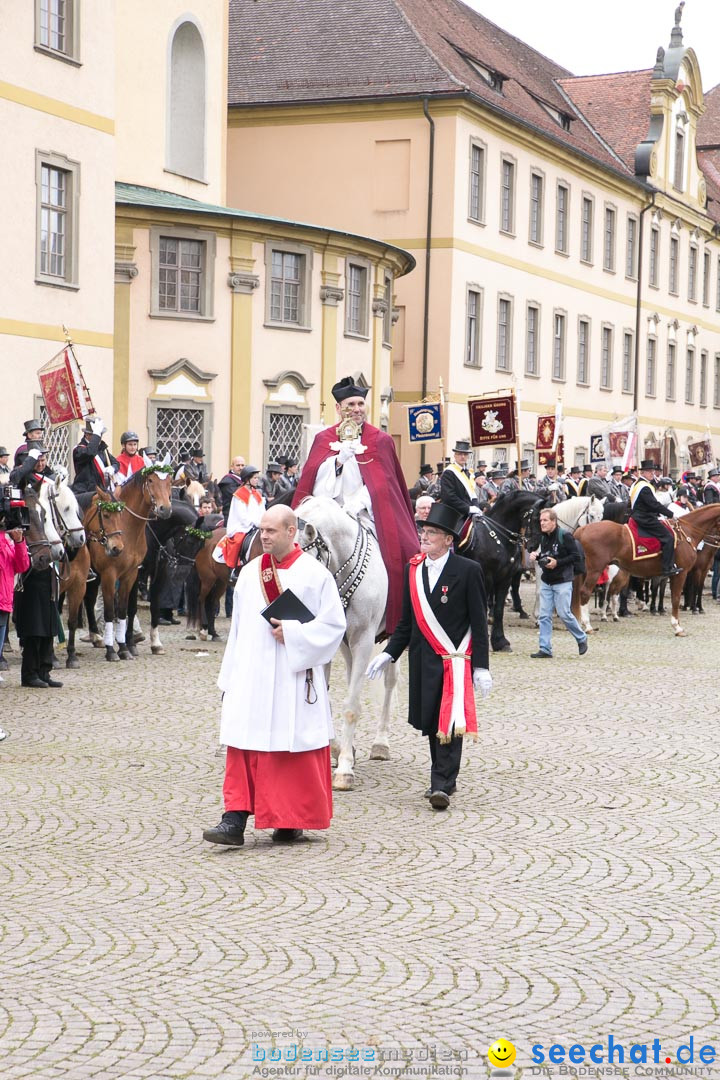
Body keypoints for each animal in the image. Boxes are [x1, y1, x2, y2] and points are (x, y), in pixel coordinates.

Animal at [60, 490, 126, 665]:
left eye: (120, 514)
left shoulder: (78, 585)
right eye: (106, 515)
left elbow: (72, 620)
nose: (117, 548)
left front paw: (71, 655)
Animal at [83, 470, 173, 660]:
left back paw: (96, 637)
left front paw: (126, 647)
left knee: (88, 599)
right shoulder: (110, 574)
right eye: (151, 480)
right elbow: (113, 611)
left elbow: (125, 609)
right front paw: (115, 649)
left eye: (169, 480)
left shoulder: (132, 574)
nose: (165, 509)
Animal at [297, 496, 399, 794]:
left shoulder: (364, 639)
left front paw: (344, 769)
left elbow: (352, 706)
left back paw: (381, 743)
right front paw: (337, 750)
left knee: (390, 680)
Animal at [462, 490, 546, 648]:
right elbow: (483, 606)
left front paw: (500, 641)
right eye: (536, 518)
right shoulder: (486, 577)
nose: (534, 546)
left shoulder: (505, 578)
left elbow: (499, 609)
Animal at [578, 503, 720, 630]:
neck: (687, 532)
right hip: (595, 570)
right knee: (585, 592)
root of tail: (582, 529)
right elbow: (675, 597)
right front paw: (677, 626)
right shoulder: (682, 573)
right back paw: (588, 625)